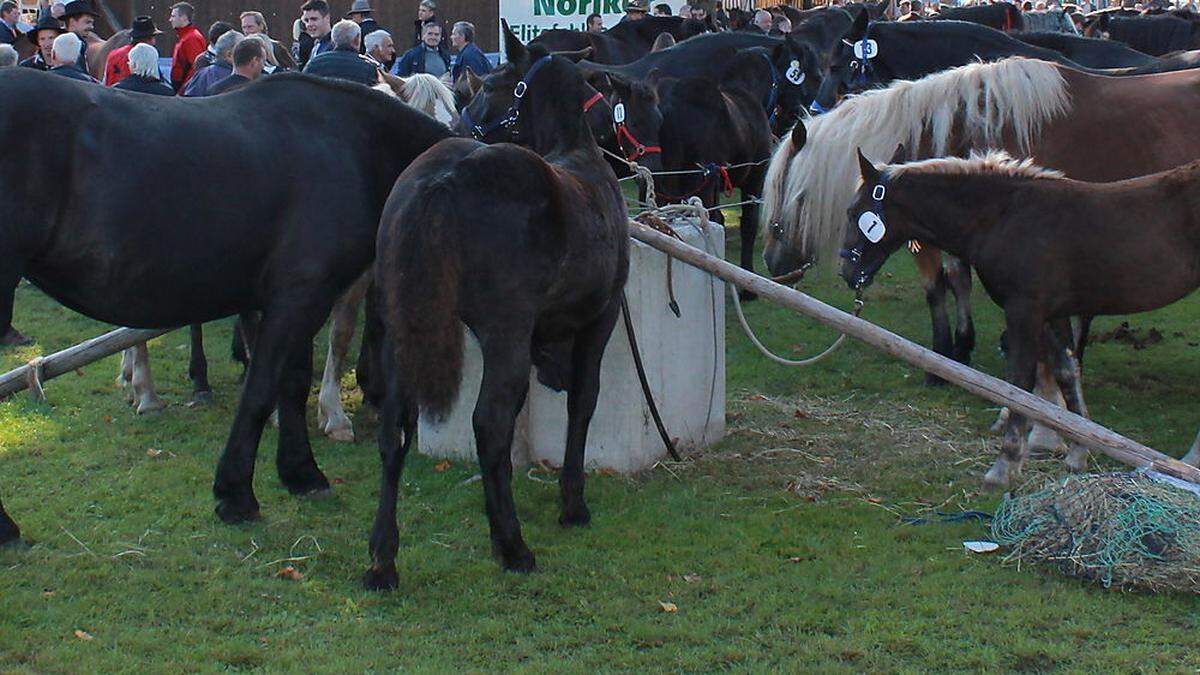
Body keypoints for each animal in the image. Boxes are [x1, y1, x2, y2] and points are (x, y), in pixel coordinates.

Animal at [0, 66, 451, 547]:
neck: (352, 144)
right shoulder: (301, 296)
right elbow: (261, 389)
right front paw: (236, 494)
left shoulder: (283, 301)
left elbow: (290, 384)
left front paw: (300, 474)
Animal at [360, 44, 628, 586]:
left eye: (486, 85)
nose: (459, 121)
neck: (577, 156)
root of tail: (441, 179)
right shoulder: (601, 319)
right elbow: (582, 401)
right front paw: (573, 503)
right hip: (506, 336)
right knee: (490, 424)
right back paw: (512, 544)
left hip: (403, 330)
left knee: (395, 428)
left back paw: (383, 558)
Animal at [840, 148, 1200, 482]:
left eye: (853, 212)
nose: (847, 272)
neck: (1004, 215)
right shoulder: (1052, 314)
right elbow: (1067, 372)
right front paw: (1078, 453)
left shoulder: (1023, 311)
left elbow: (1019, 382)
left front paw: (1005, 464)